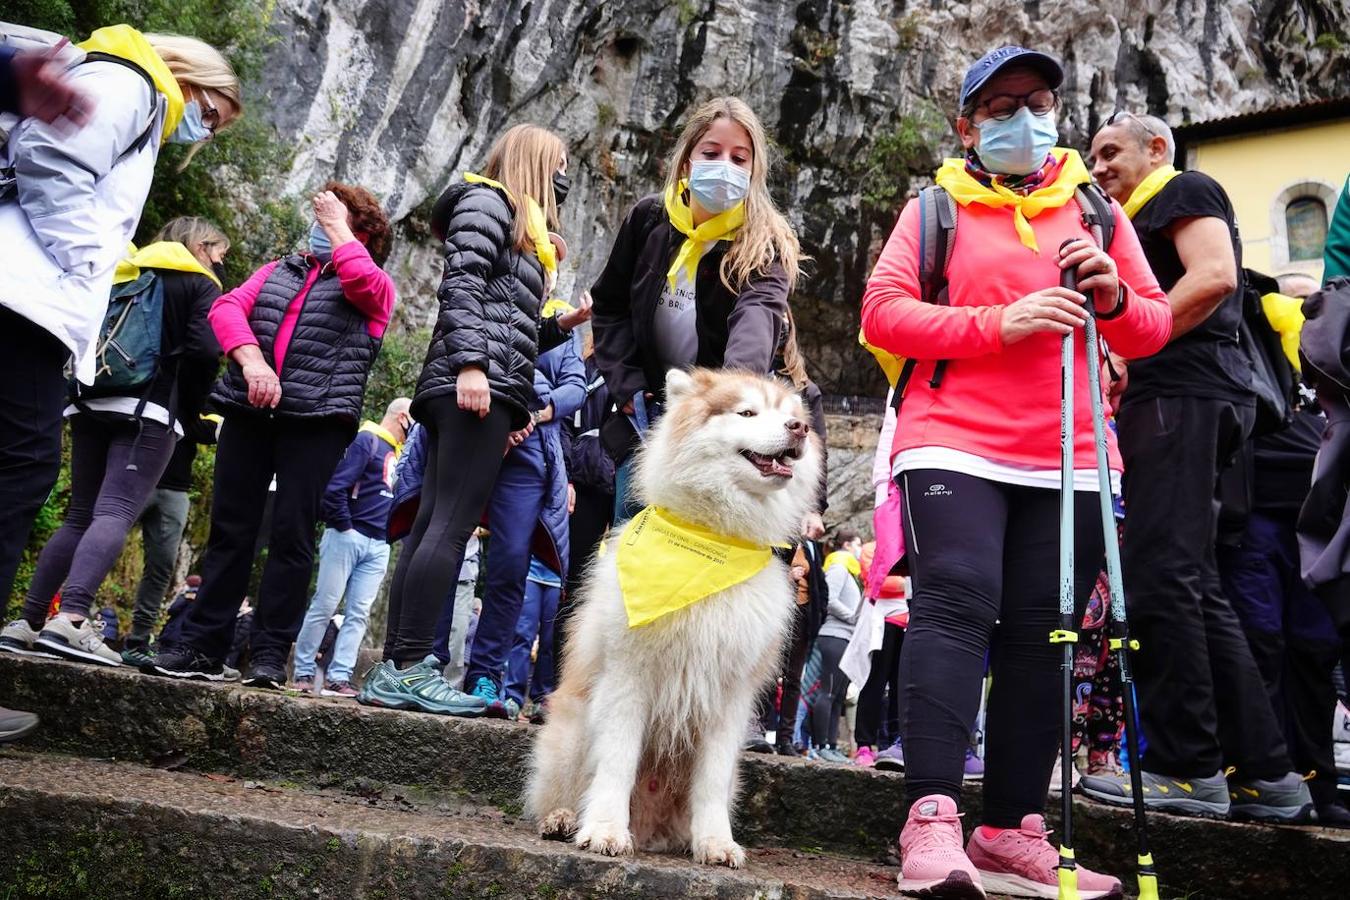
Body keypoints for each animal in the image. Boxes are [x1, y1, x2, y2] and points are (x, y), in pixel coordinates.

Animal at [526, 369, 820, 868]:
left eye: (791, 415)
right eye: (747, 412)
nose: (798, 429)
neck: (713, 540)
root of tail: (652, 831)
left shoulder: (730, 697)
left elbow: (712, 781)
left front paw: (716, 842)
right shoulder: (628, 677)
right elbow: (617, 761)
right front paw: (604, 830)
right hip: (572, 728)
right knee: (562, 787)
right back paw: (563, 819)